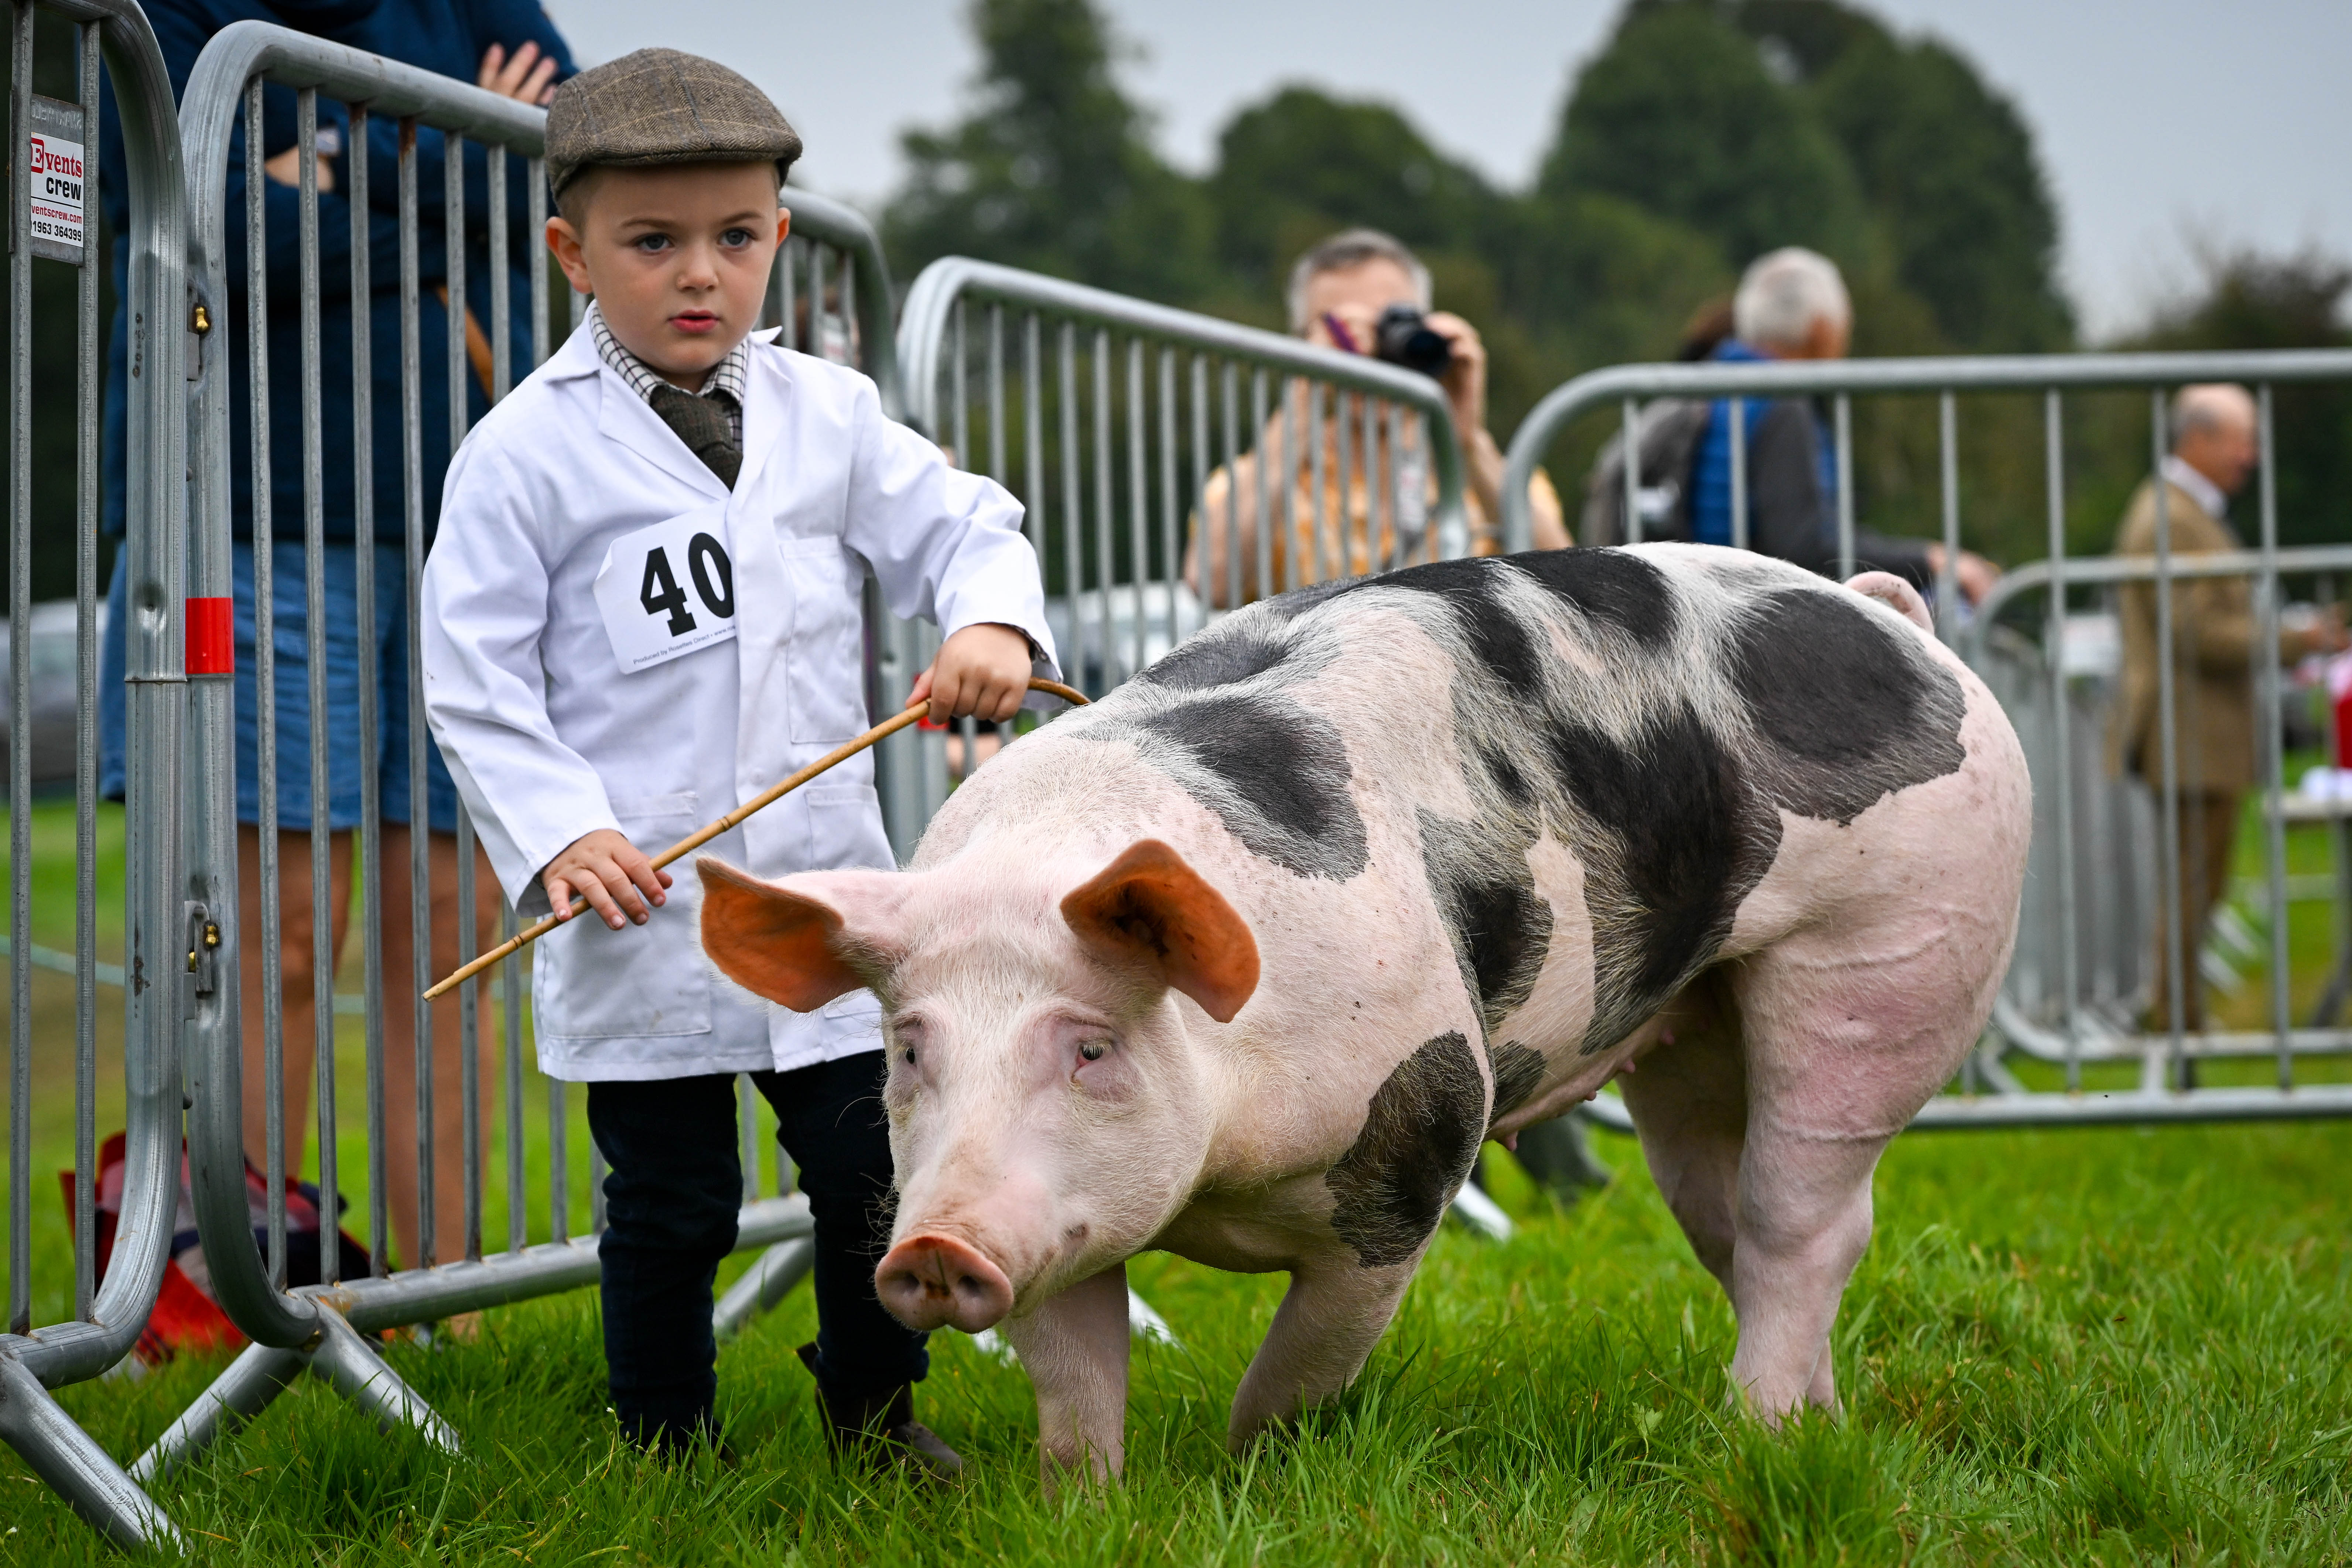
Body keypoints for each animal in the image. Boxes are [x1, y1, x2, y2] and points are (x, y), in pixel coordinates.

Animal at [691, 545, 2023, 1495]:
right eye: (910, 1047)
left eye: (1090, 1046)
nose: (933, 1247)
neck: (1220, 1173)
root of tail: (1891, 618)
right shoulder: (1066, 1215)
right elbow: (1074, 1380)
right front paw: (1088, 1505)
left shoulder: (1413, 1151)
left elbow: (1300, 1367)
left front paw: (1249, 1471)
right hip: (1695, 1032)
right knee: (1731, 1221)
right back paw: (1813, 1425)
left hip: (1890, 950)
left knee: (1805, 1218)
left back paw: (1751, 1439)